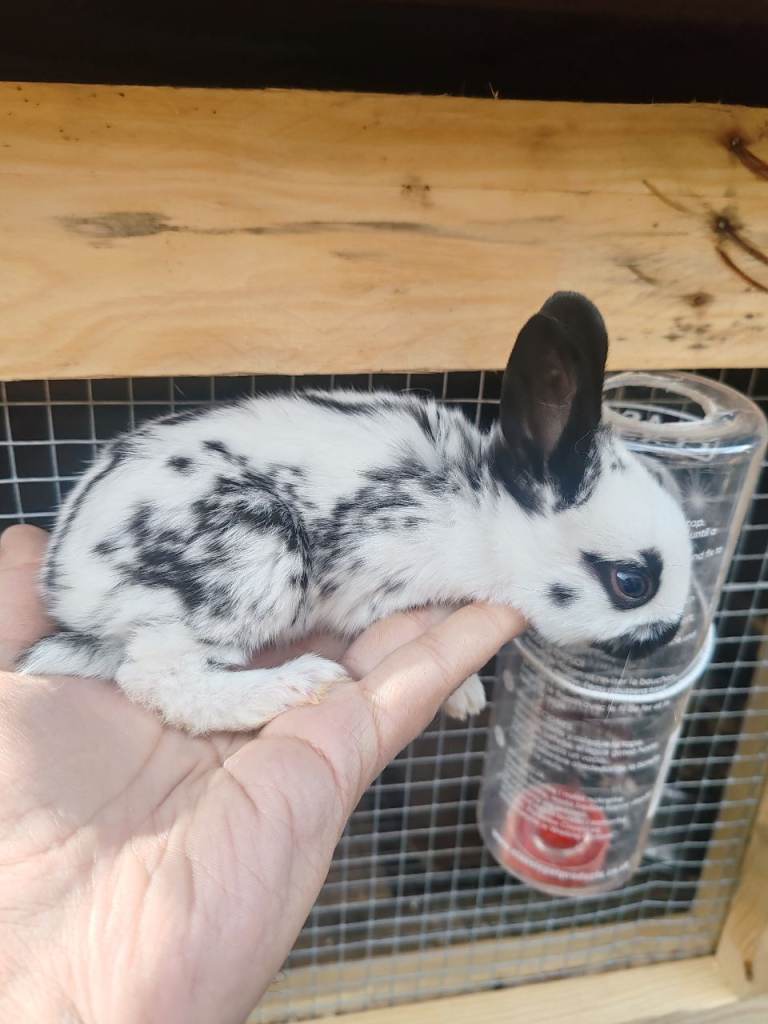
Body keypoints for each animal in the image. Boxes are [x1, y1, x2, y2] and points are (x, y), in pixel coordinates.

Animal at [18, 292, 693, 734]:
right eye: (632, 583)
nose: (669, 635)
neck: (483, 512)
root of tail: (64, 583)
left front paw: (465, 698)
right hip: (252, 555)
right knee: (156, 677)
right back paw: (295, 687)